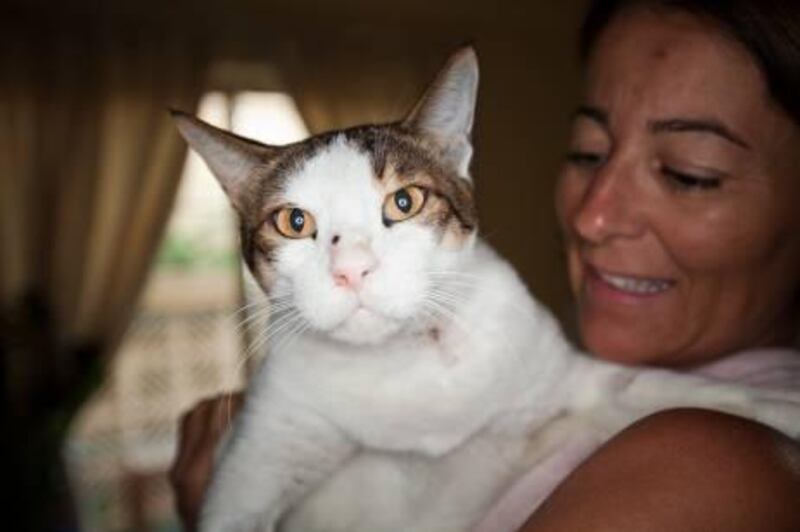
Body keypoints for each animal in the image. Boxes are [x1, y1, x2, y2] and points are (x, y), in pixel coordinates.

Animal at [173, 46, 800, 532]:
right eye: (294, 222)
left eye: (405, 202)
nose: (351, 268)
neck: (403, 363)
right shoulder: (257, 460)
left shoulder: (563, 385)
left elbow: (664, 386)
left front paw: (778, 404)